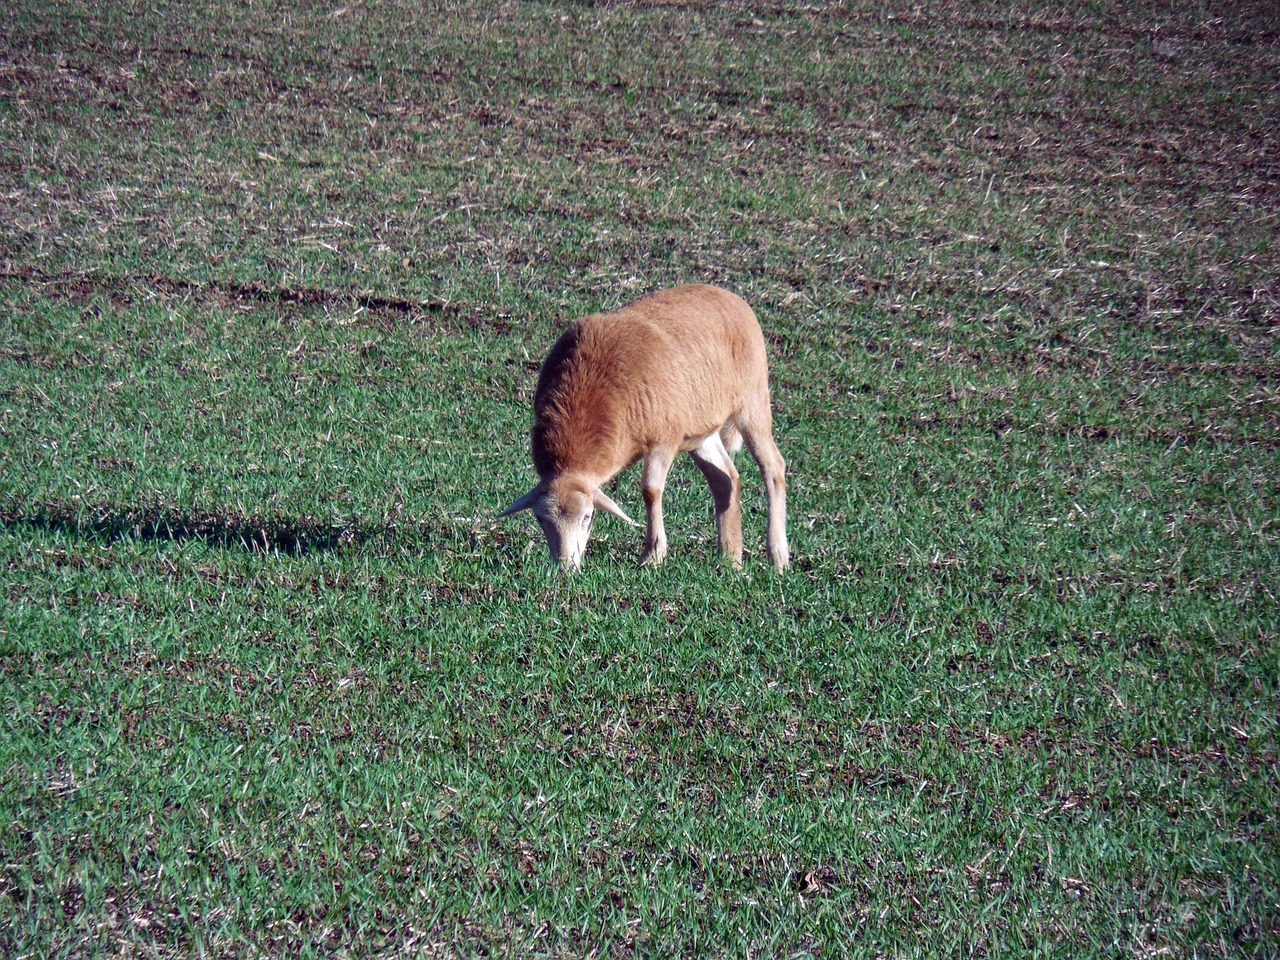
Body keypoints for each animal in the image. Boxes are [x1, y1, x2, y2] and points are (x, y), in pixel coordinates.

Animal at [499, 284, 788, 570]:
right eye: (540, 519)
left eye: (588, 517)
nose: (564, 568)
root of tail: (732, 297)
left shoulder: (664, 438)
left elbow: (650, 490)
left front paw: (653, 555)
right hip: (701, 431)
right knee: (726, 479)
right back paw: (730, 557)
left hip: (753, 403)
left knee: (773, 468)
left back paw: (778, 555)